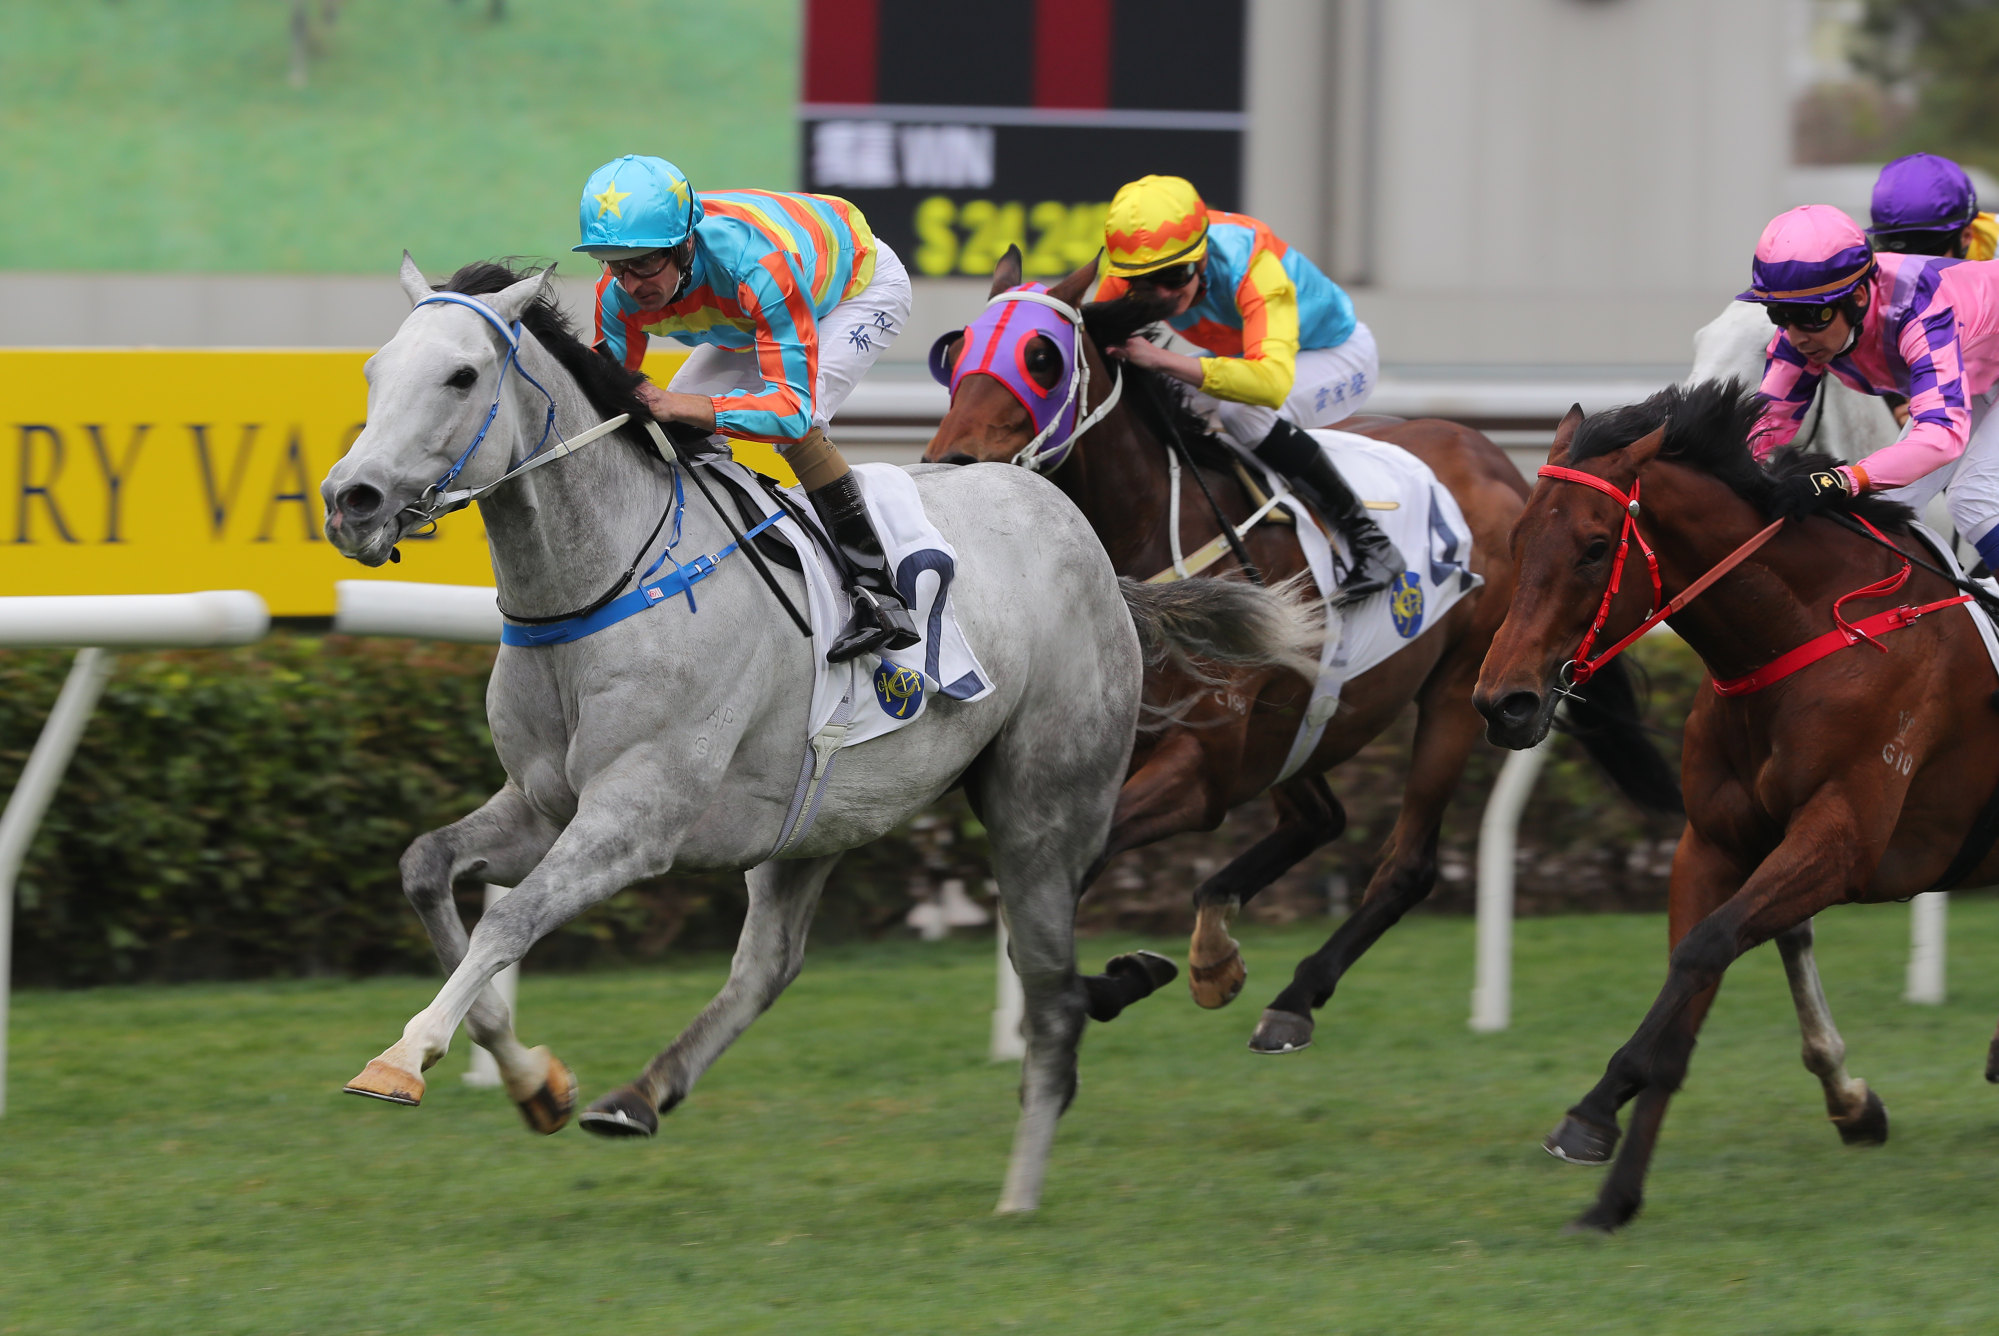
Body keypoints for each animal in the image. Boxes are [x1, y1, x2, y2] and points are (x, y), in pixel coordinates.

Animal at [319, 256, 1319, 1216]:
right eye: (373, 371)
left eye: (460, 375)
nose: (350, 499)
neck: (607, 581)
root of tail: (1096, 555)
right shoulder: (542, 804)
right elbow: (426, 867)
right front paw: (535, 1083)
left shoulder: (635, 819)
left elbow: (512, 919)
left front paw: (403, 1058)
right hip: (817, 814)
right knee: (772, 963)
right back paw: (637, 1097)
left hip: (1043, 810)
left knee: (1052, 999)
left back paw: (1019, 1197)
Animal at [927, 250, 1679, 1056]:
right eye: (955, 350)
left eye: (1041, 357)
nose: (952, 461)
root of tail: (1500, 462)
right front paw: (1131, 975)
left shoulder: (1203, 768)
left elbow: (1076, 871)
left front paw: (1121, 978)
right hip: (1300, 717)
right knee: (1320, 818)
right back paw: (1216, 948)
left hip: (1461, 690)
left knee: (1407, 862)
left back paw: (1293, 996)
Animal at [1471, 376, 1999, 1232]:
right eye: (1516, 540)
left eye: (1593, 547)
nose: (1502, 703)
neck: (1808, 630)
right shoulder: (1713, 845)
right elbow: (1695, 979)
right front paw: (1613, 1194)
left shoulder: (1843, 841)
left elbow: (1704, 949)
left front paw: (1594, 1108)